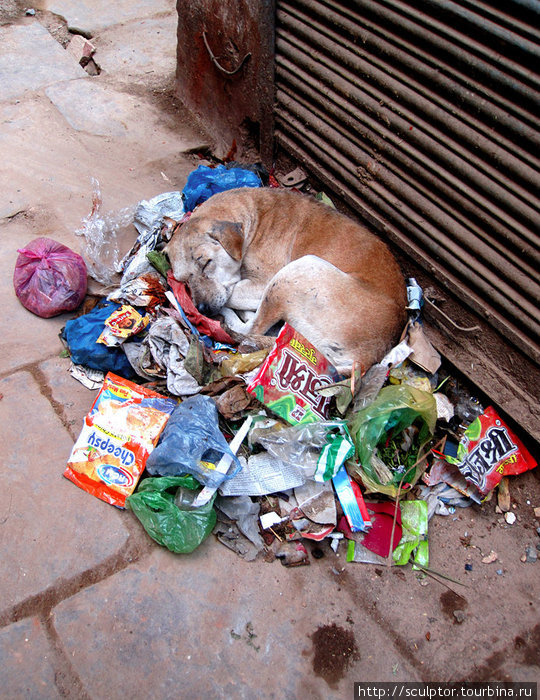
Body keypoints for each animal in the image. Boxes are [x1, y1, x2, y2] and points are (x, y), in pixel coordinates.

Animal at [167, 185, 408, 372]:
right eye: (183, 280)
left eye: (206, 263)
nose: (203, 309)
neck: (251, 216)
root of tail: (364, 360)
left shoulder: (263, 281)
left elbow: (233, 294)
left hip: (296, 272)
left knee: (250, 329)